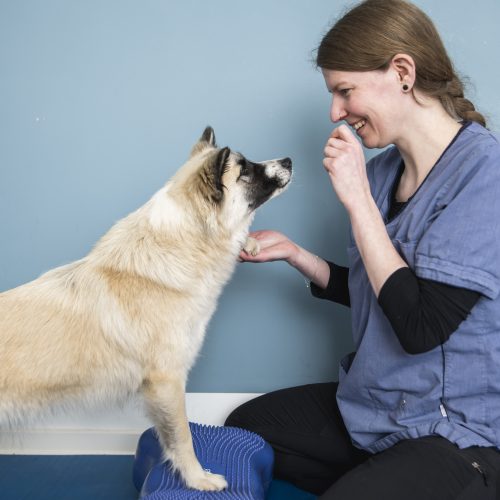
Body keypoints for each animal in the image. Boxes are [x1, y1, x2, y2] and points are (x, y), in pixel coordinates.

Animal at [0, 127, 292, 490]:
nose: (288, 160)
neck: (181, 246)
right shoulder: (168, 382)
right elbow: (183, 438)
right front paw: (198, 480)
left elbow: (168, 439)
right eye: (246, 170)